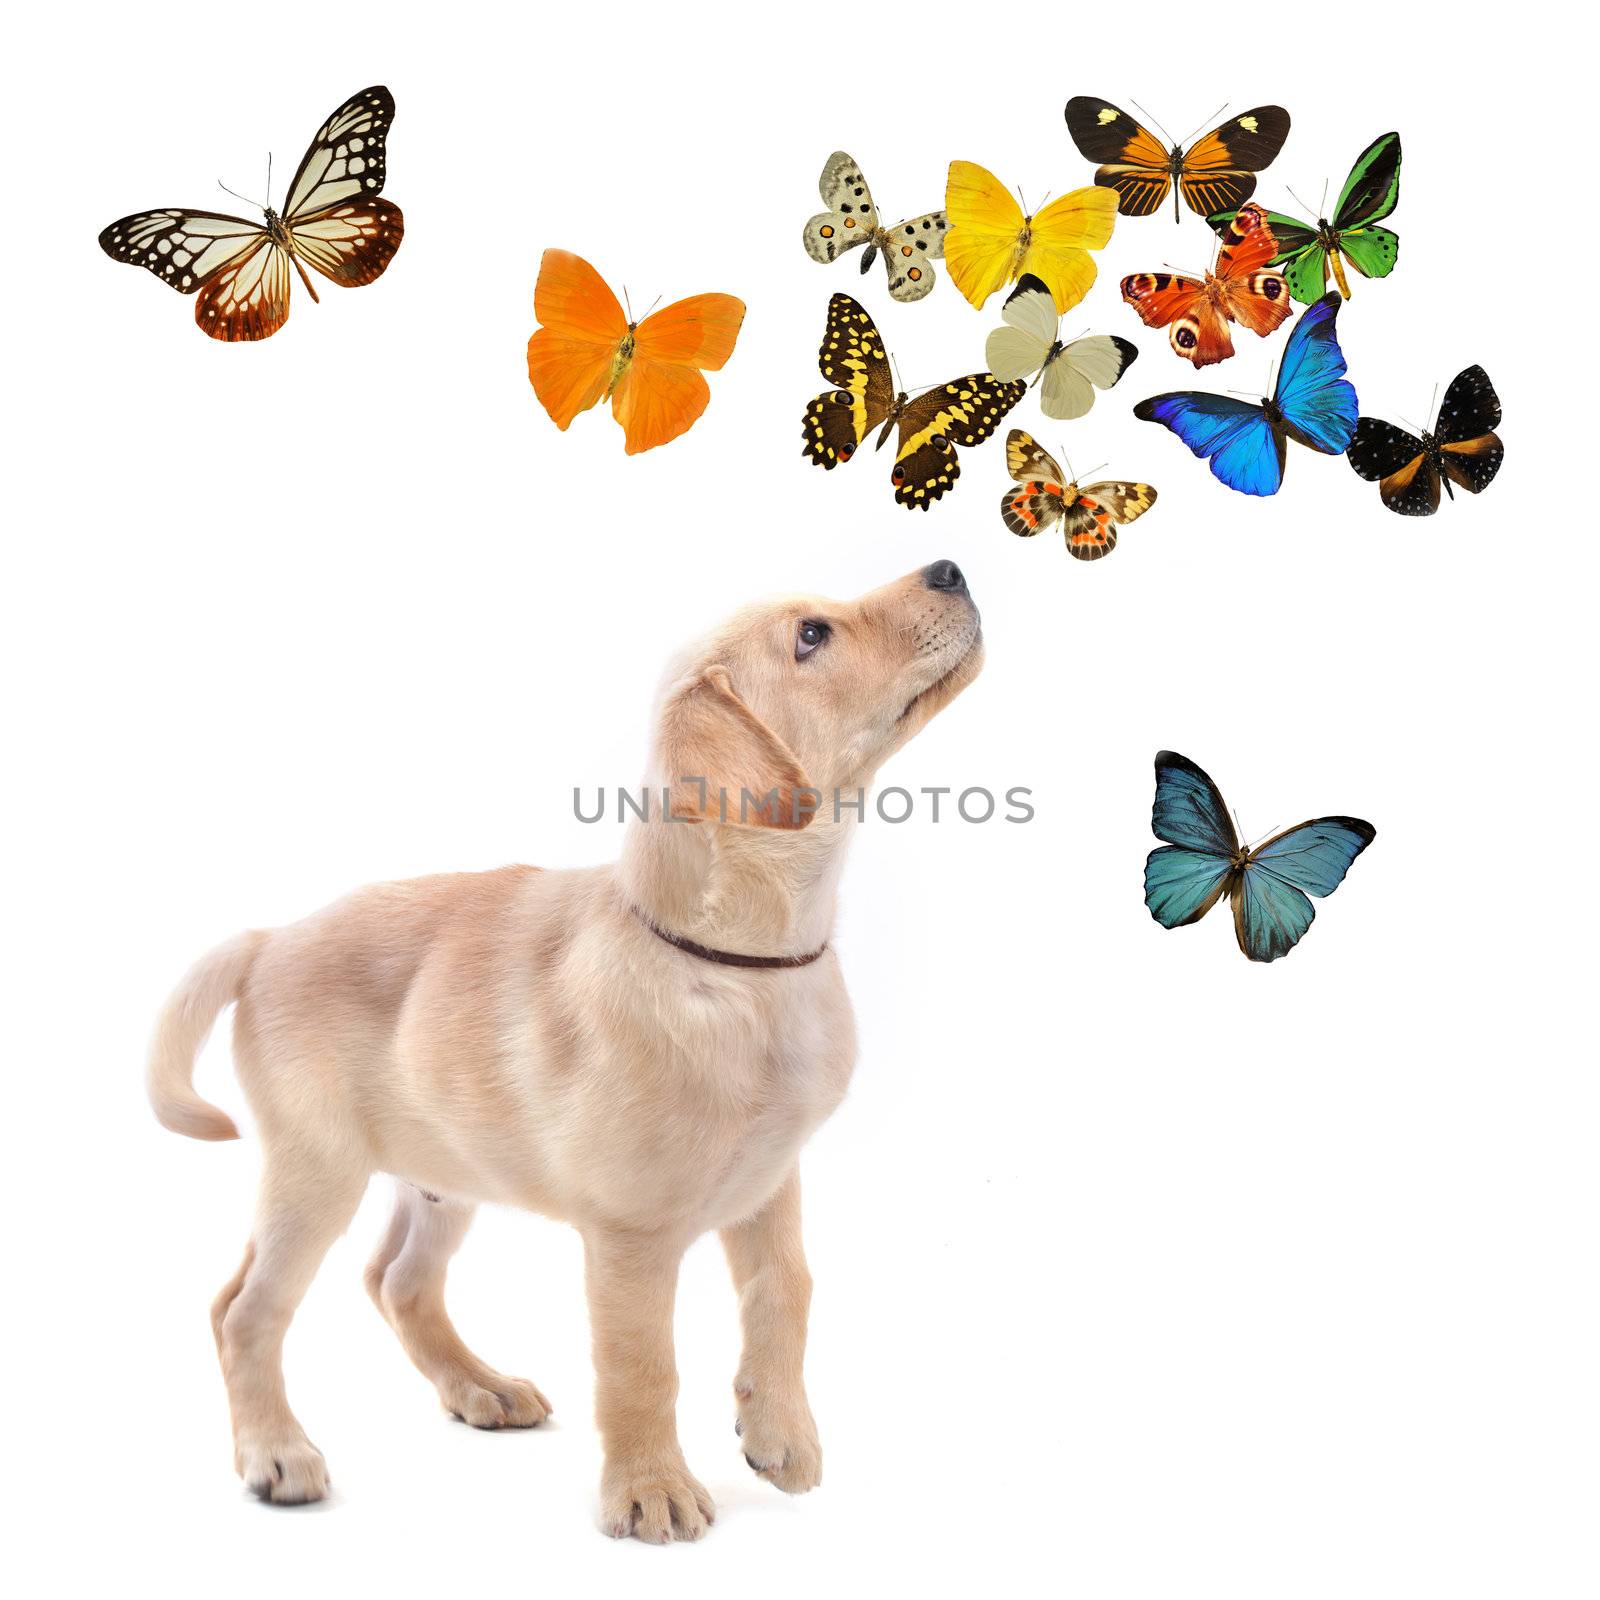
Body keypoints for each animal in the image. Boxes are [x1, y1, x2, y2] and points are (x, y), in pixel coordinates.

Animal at [150, 560, 979, 1536]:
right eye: (812, 636)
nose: (951, 568)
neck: (741, 971)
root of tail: (269, 937)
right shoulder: (629, 1235)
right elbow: (642, 1364)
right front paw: (652, 1489)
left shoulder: (772, 1184)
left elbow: (787, 1292)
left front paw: (780, 1434)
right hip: (316, 1171)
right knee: (245, 1310)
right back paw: (277, 1453)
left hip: (444, 1173)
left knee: (397, 1281)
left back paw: (479, 1387)